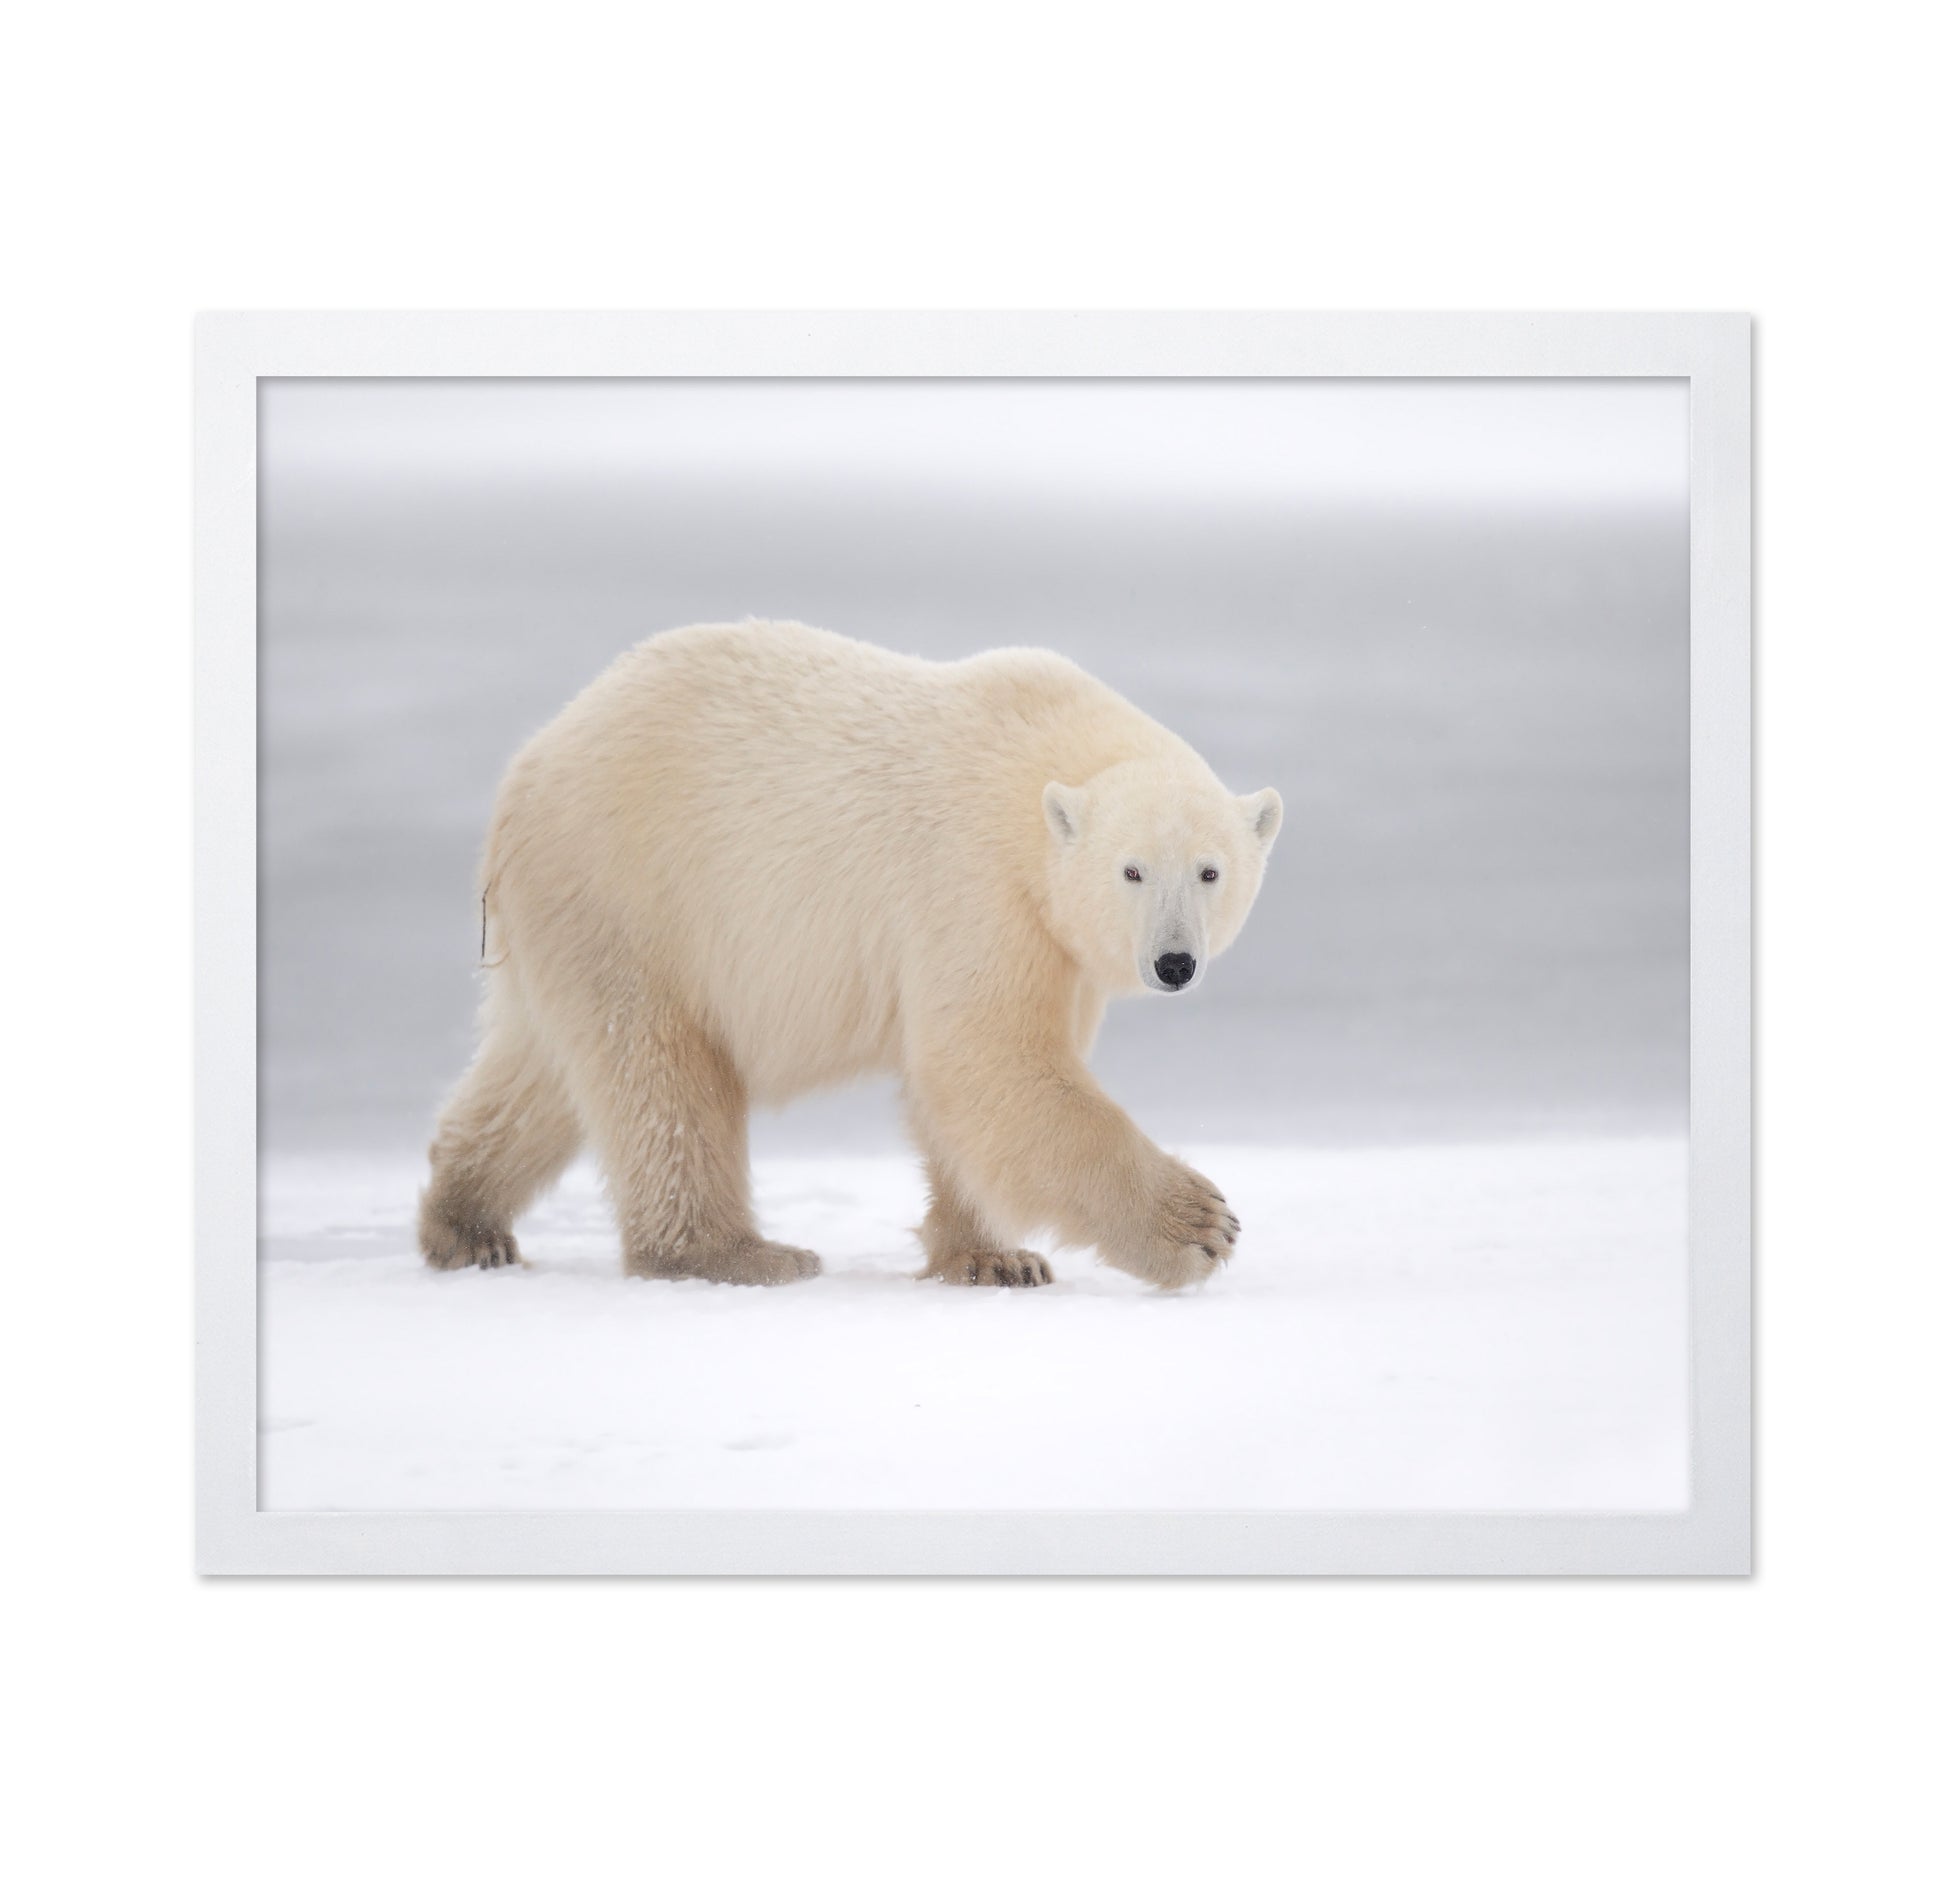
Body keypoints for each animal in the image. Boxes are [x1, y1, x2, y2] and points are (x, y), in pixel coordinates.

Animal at [419, 620, 1282, 1291]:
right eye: (1130, 870)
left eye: (1210, 870)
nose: (1174, 962)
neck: (1037, 763)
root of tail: (524, 774)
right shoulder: (975, 884)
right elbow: (988, 1058)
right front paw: (1200, 1224)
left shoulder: (1056, 943)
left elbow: (972, 1086)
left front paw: (995, 1258)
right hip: (636, 892)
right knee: (662, 1080)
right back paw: (740, 1253)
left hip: (575, 920)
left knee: (541, 1074)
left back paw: (465, 1222)